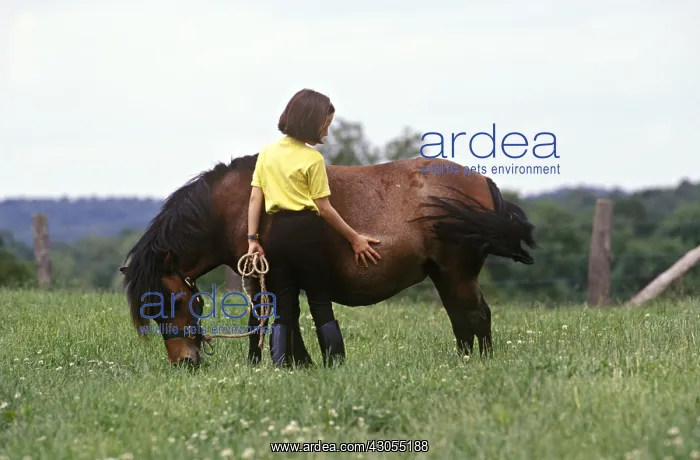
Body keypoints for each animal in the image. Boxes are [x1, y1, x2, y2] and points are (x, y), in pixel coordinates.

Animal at [119, 155, 536, 367]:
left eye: (178, 302)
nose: (184, 361)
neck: (238, 203)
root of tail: (483, 183)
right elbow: (276, 319)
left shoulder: (265, 275)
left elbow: (265, 320)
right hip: (444, 275)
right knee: (462, 320)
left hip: (456, 272)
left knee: (476, 316)